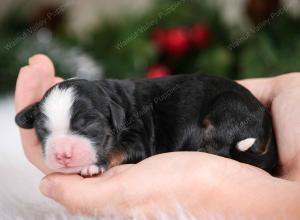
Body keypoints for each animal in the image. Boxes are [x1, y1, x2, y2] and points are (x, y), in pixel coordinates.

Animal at [15, 75, 278, 176]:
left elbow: (119, 150)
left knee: (220, 150)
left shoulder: (138, 139)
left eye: (88, 126)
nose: (62, 155)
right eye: (42, 130)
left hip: (227, 105)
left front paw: (94, 166)